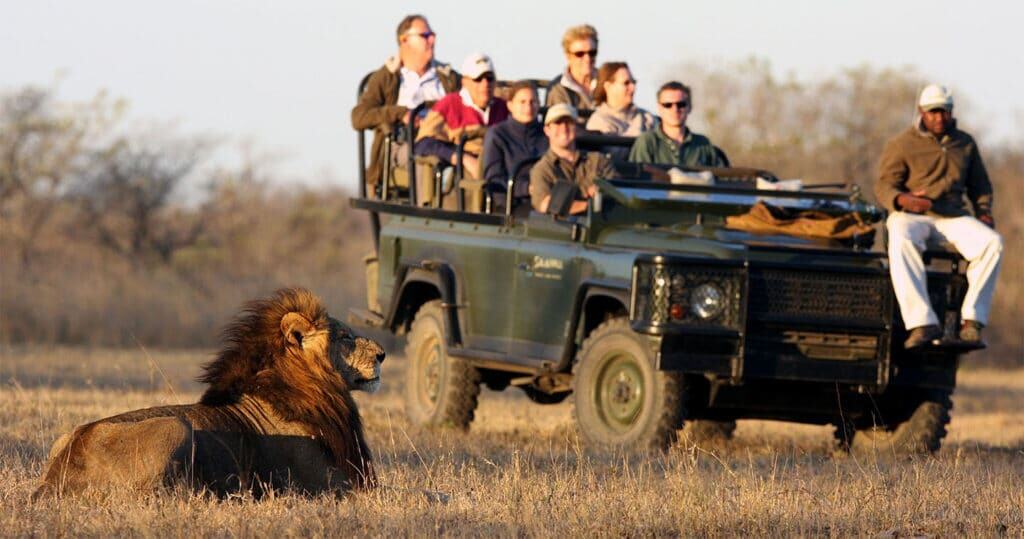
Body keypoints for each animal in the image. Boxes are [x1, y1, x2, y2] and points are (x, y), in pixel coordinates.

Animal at [33, 287, 385, 499]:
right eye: (346, 337)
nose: (382, 354)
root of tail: (57, 477)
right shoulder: (330, 485)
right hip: (173, 427)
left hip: (62, 437)